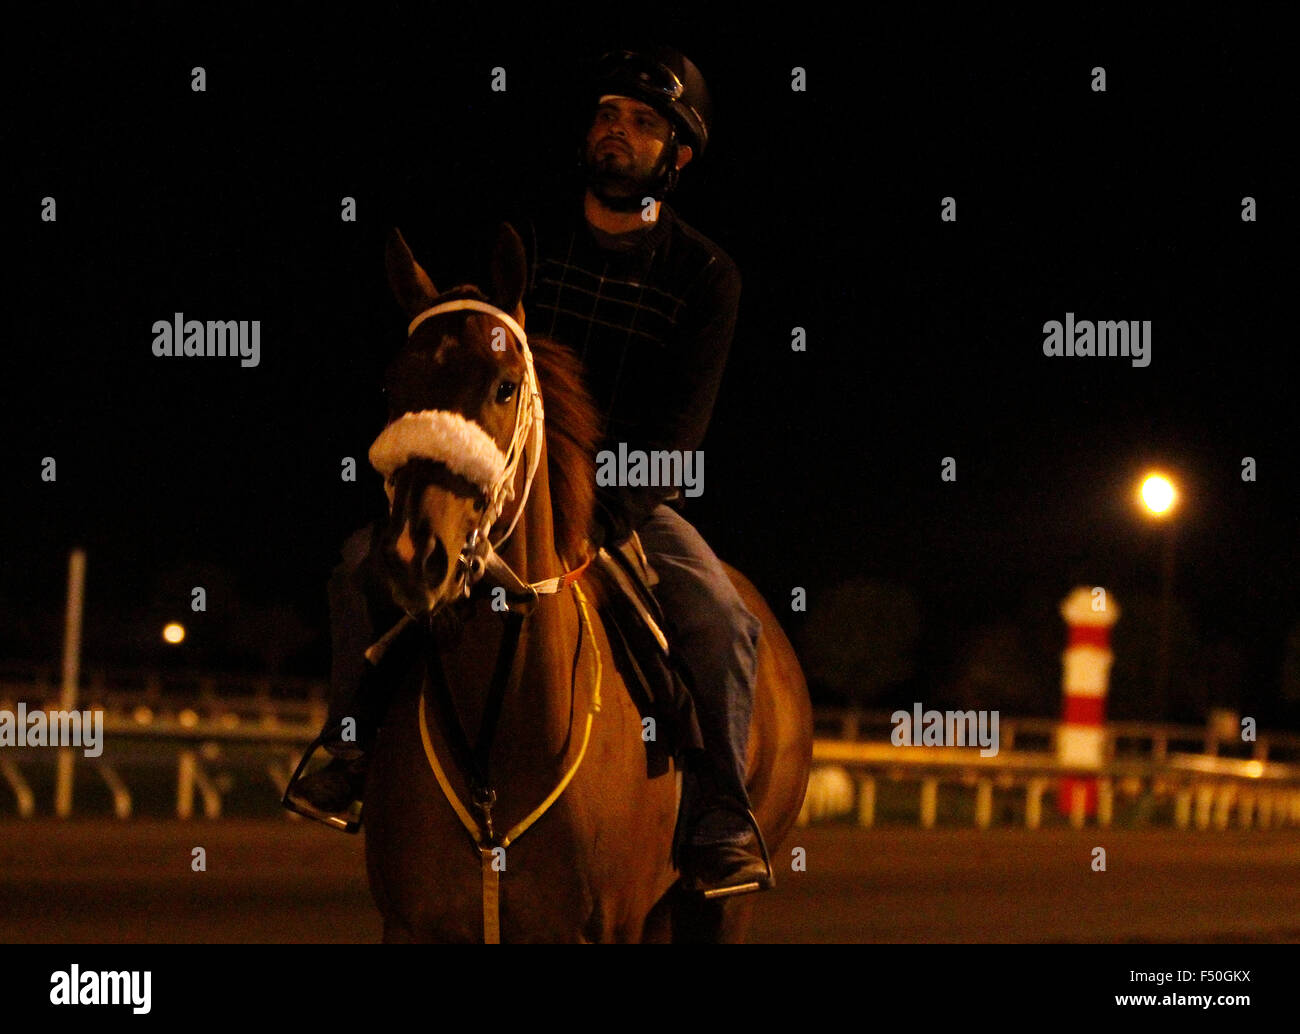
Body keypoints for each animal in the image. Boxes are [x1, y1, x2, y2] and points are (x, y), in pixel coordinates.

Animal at [364, 226, 811, 946]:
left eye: (505, 387)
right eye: (392, 383)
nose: (412, 553)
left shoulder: (606, 927)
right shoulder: (410, 924)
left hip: (724, 903)